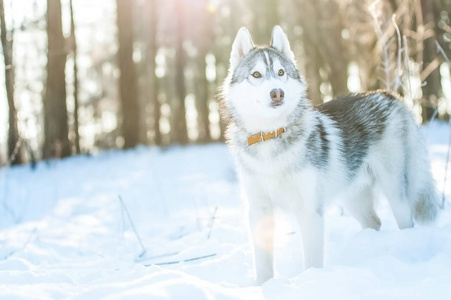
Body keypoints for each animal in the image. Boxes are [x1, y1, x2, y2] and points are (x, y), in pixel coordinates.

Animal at [222, 25, 442, 284]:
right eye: (256, 75)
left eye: (280, 72)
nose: (277, 93)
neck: (271, 136)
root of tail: (390, 96)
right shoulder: (259, 210)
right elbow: (263, 265)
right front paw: (264, 286)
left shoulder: (309, 210)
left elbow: (312, 261)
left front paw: (311, 281)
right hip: (352, 196)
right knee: (374, 222)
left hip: (395, 191)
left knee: (405, 221)